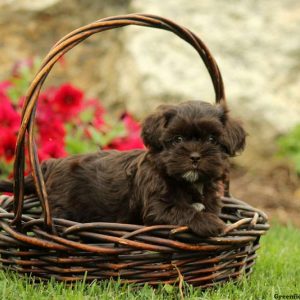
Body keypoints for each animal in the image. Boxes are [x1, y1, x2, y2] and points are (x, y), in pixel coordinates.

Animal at [0, 101, 246, 237]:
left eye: (212, 139)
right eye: (177, 139)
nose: (195, 156)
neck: (188, 182)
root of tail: (48, 167)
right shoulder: (157, 207)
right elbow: (183, 211)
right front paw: (211, 223)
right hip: (62, 208)